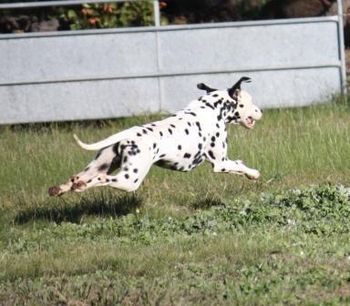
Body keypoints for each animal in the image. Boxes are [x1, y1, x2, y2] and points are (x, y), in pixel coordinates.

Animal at [48, 76, 262, 196]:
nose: (260, 111)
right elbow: (241, 167)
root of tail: (127, 136)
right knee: (100, 179)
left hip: (99, 165)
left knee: (76, 177)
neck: (211, 107)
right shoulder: (221, 163)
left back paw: (60, 189)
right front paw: (253, 173)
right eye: (250, 101)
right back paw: (81, 187)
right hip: (129, 180)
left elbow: (238, 166)